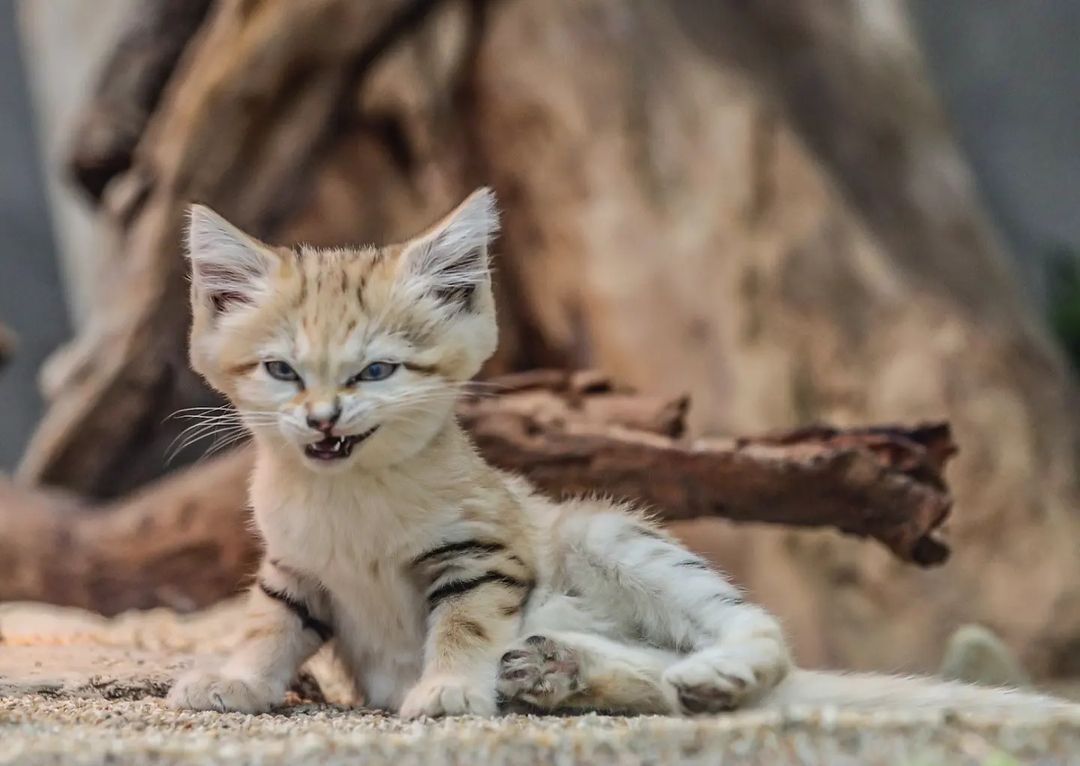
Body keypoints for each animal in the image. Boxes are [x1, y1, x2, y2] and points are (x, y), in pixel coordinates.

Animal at [168, 187, 1071, 713]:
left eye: (376, 371)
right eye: (282, 371)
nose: (321, 420)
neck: (347, 496)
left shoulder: (481, 554)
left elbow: (462, 628)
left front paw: (448, 690)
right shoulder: (293, 569)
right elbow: (267, 626)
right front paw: (234, 679)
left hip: (605, 531)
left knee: (754, 637)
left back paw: (715, 674)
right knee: (654, 682)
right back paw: (575, 676)